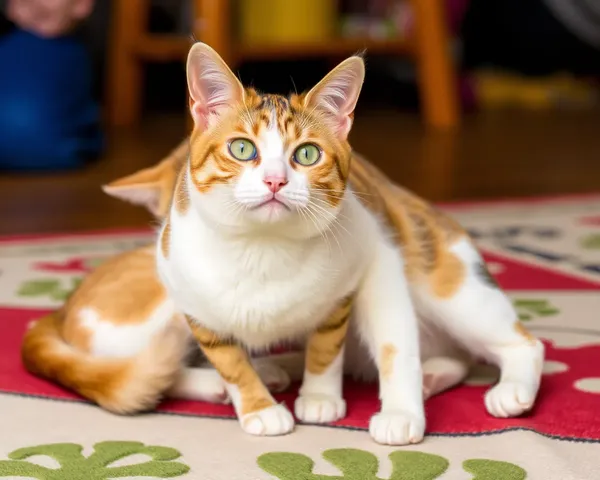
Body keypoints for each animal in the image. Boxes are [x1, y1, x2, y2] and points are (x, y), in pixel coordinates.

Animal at [155, 42, 544, 446]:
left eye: (307, 154)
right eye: (243, 149)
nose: (275, 181)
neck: (263, 245)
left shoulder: (375, 259)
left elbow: (362, 345)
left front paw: (345, 402)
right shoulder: (192, 302)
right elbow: (230, 363)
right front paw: (259, 408)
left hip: (451, 287)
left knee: (521, 343)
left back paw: (505, 386)